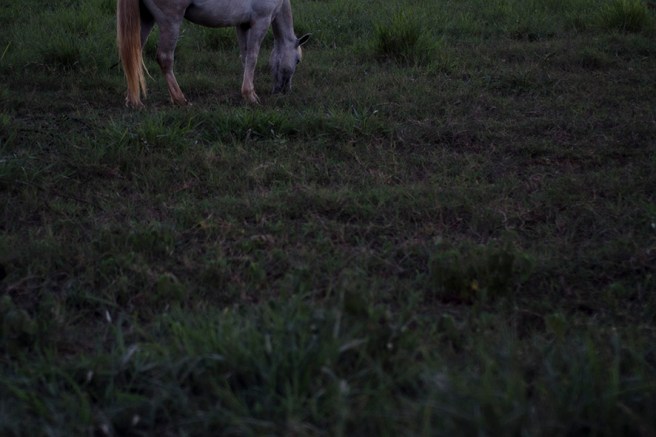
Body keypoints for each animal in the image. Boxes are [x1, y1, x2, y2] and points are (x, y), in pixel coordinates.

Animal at [116, 0, 310, 107]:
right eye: (298, 61)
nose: (284, 90)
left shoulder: (243, 25)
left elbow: (245, 57)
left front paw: (246, 91)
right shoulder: (260, 21)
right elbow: (253, 57)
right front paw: (250, 96)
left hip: (145, 18)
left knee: (133, 56)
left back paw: (134, 101)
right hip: (170, 22)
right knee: (164, 58)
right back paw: (180, 99)